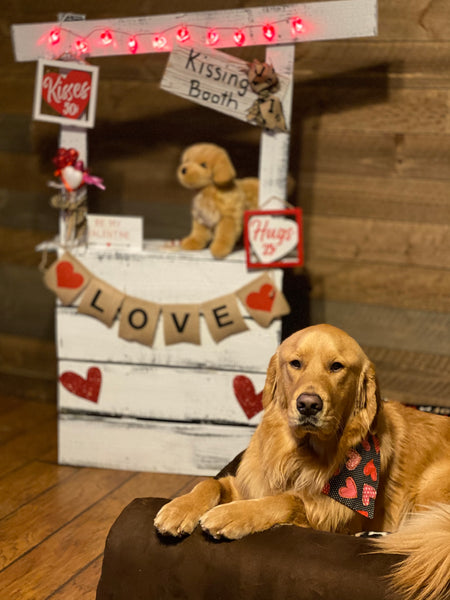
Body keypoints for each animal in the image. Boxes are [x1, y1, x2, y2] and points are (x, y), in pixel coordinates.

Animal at [156, 328, 450, 600]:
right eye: (296, 363)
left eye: (336, 367)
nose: (309, 404)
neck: (299, 457)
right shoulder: (248, 484)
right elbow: (211, 482)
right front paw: (179, 509)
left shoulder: (333, 519)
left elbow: (286, 499)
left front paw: (231, 514)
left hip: (431, 484)